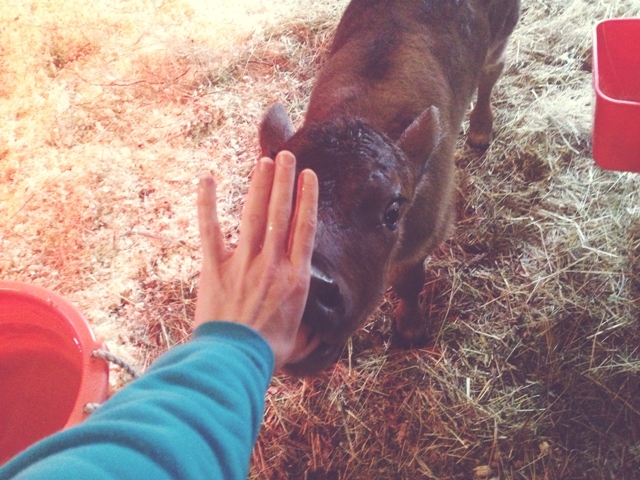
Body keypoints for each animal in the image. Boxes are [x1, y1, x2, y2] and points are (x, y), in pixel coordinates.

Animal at [258, 0, 520, 376]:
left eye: (392, 211)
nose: (303, 286)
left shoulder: (427, 236)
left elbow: (409, 281)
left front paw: (410, 329)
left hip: (502, 34)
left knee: (491, 72)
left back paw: (481, 131)